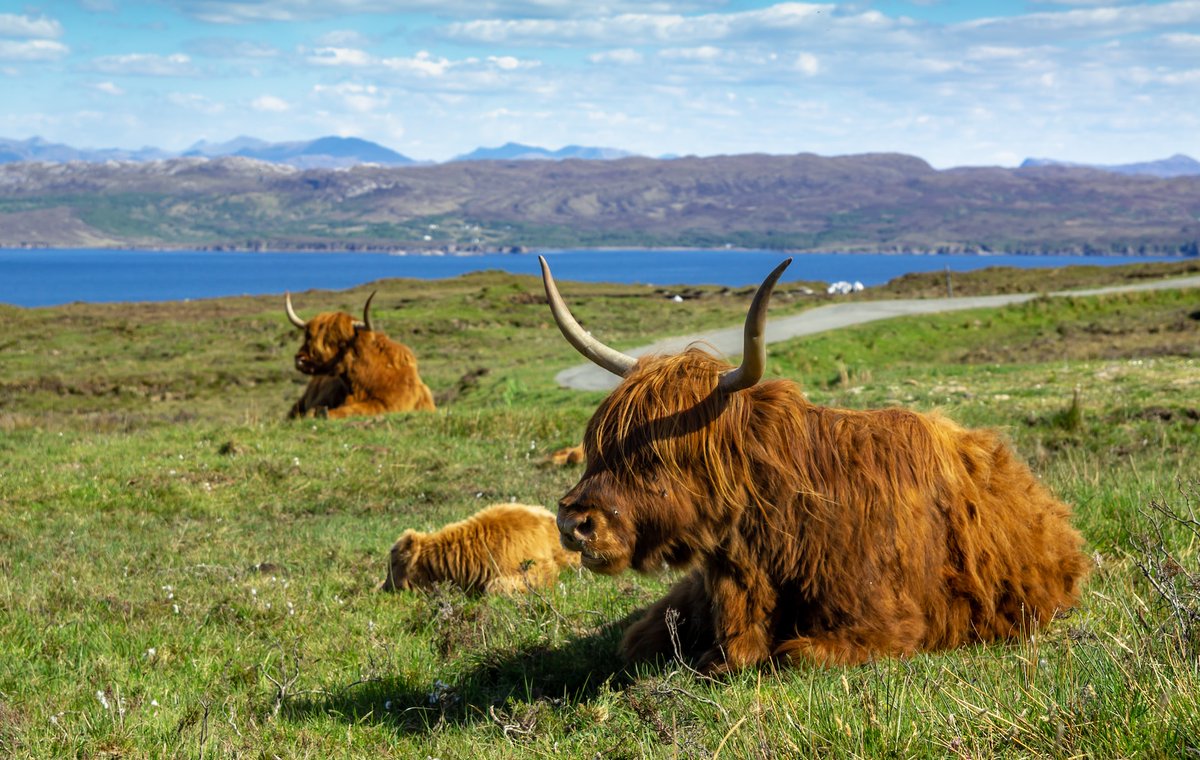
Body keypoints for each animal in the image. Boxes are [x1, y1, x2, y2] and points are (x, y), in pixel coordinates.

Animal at [284, 291, 436, 420]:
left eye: (340, 343)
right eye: (308, 336)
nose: (300, 359)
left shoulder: (389, 404)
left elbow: (356, 409)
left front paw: (320, 413)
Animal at [540, 258, 1094, 672]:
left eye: (657, 456)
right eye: (597, 445)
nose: (573, 521)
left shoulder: (887, 626)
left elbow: (792, 655)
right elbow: (639, 639)